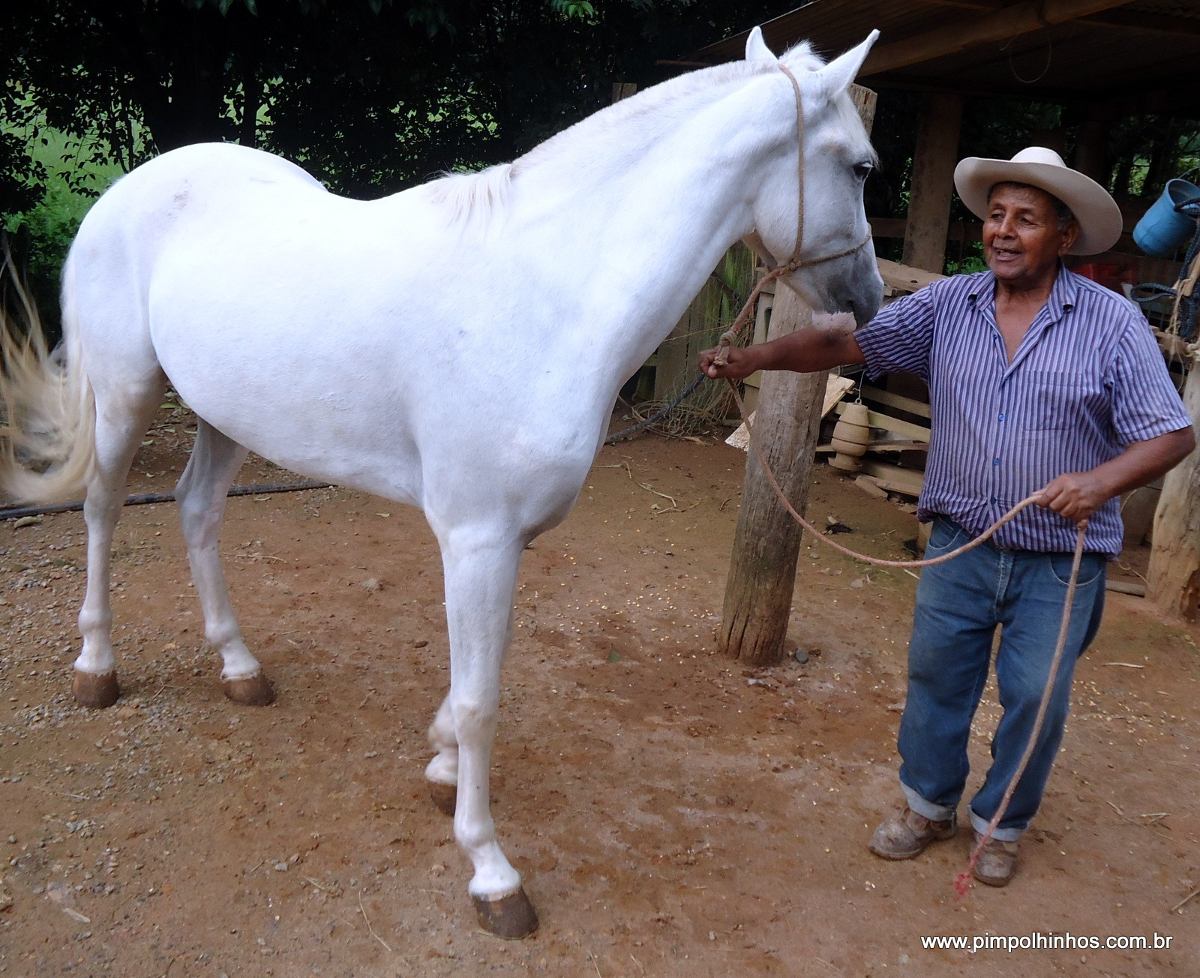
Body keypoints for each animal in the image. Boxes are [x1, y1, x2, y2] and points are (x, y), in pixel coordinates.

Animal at [0, 26, 883, 936]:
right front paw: (490, 869)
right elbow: (481, 700)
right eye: (861, 167)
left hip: (223, 414)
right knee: (102, 510)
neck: (546, 296)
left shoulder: (503, 543)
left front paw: (441, 767)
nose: (867, 302)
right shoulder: (477, 538)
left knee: (196, 511)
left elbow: (474, 682)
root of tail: (125, 191)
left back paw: (241, 669)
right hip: (124, 396)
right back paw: (97, 667)